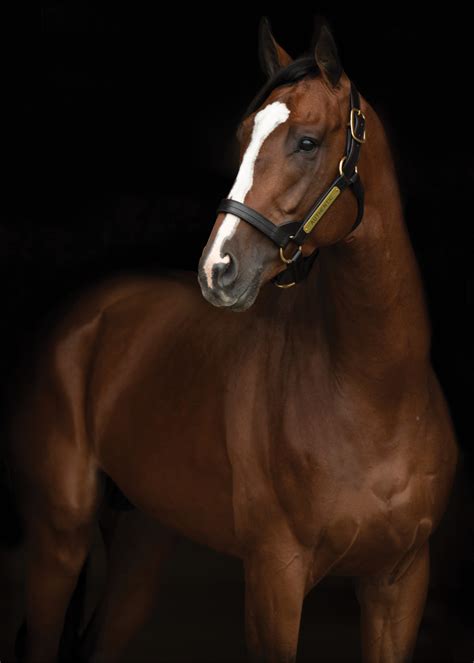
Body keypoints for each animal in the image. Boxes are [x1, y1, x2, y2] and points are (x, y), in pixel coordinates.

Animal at [8, 18, 457, 663]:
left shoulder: (399, 583)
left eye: (307, 142)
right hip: (58, 540)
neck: (376, 396)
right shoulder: (274, 580)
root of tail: (81, 317)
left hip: (144, 538)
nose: (217, 270)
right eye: (245, 135)